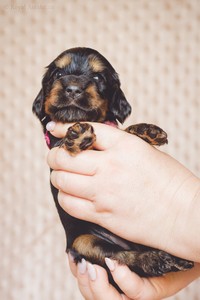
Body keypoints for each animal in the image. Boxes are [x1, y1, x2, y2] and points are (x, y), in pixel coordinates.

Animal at [32, 47, 194, 290]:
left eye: (98, 77)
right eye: (58, 74)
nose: (73, 88)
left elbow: (122, 132)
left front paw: (146, 130)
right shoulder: (56, 144)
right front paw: (78, 135)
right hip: (83, 241)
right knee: (122, 257)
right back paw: (155, 260)